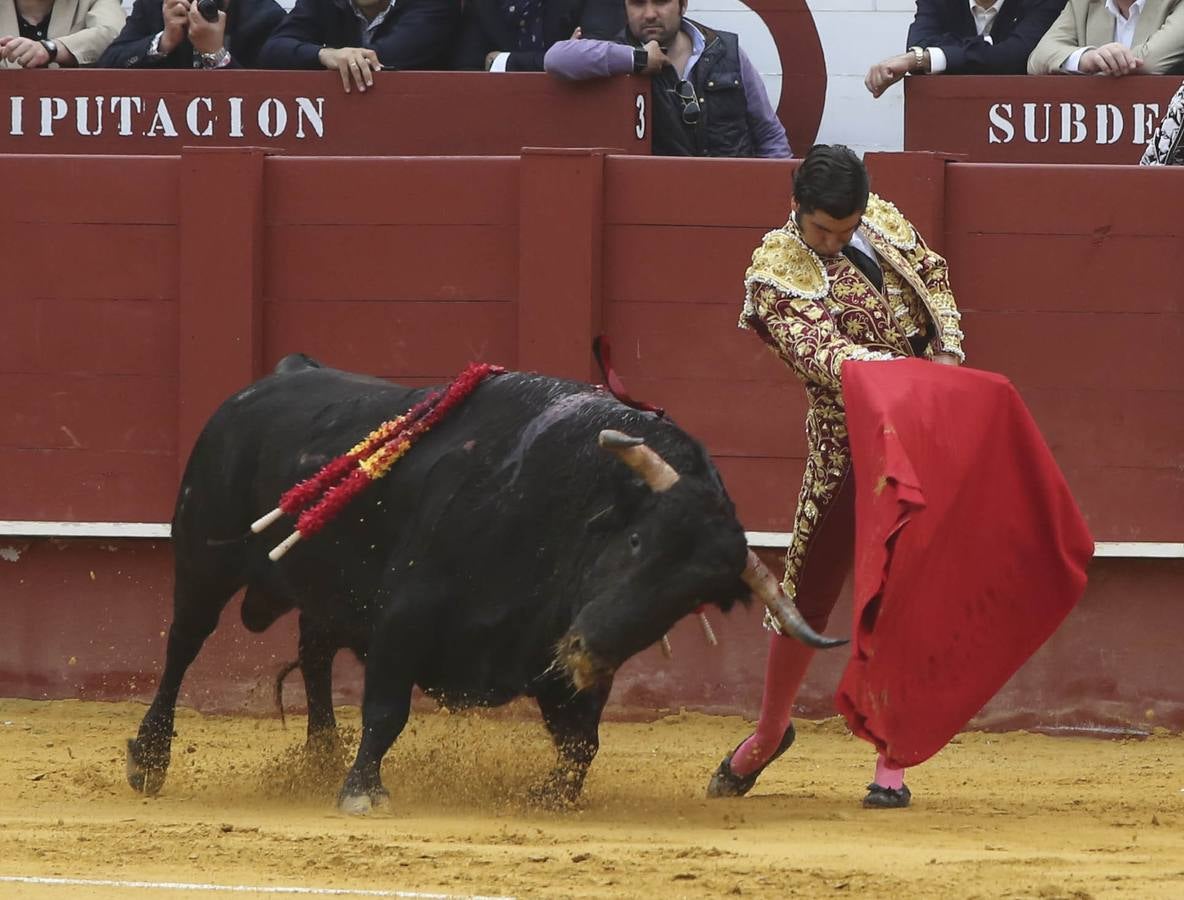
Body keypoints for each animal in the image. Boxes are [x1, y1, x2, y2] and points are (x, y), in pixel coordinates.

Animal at [127, 355, 843, 810]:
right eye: (638, 541)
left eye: (689, 600)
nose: (587, 649)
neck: (563, 506)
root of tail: (267, 383)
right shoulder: (406, 616)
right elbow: (386, 711)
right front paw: (362, 791)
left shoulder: (553, 661)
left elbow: (583, 743)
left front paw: (548, 796)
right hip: (202, 559)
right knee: (183, 646)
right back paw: (150, 761)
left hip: (322, 594)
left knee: (314, 655)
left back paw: (321, 755)